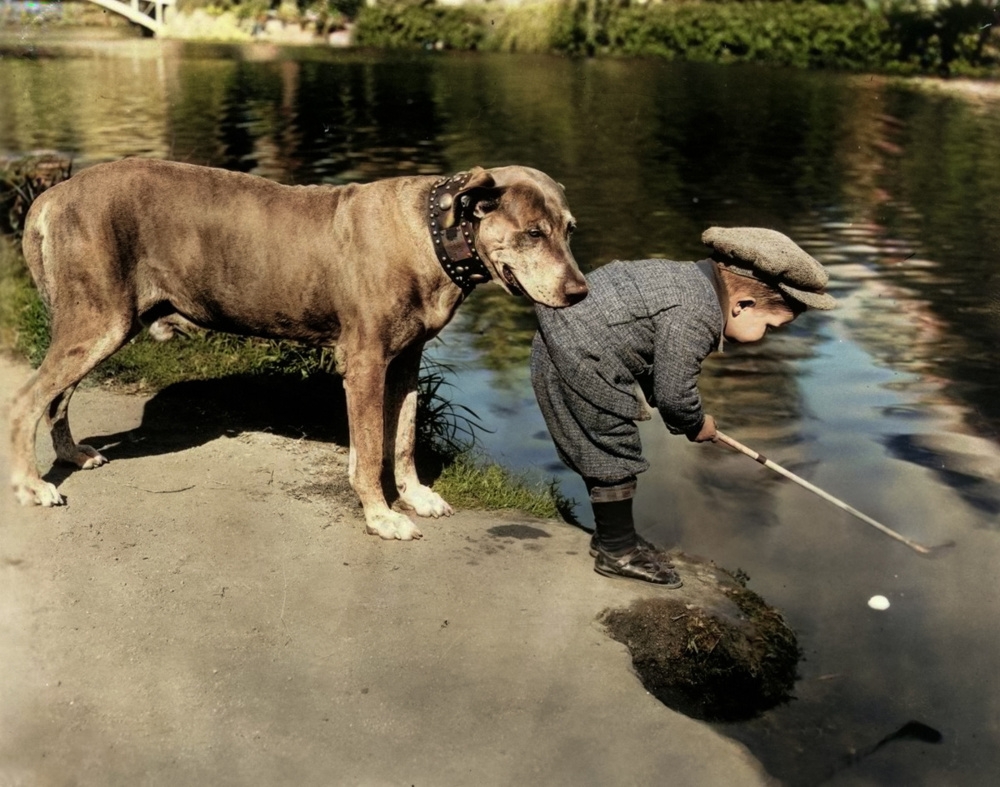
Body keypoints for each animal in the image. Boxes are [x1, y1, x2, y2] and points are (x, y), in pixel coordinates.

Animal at [9, 160, 584, 540]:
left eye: (569, 229)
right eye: (533, 232)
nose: (580, 292)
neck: (433, 233)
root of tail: (53, 194)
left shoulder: (405, 363)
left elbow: (400, 439)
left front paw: (416, 496)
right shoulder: (366, 363)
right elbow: (371, 447)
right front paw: (382, 516)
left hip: (99, 324)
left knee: (57, 397)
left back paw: (71, 454)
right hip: (98, 321)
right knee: (26, 400)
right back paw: (33, 485)